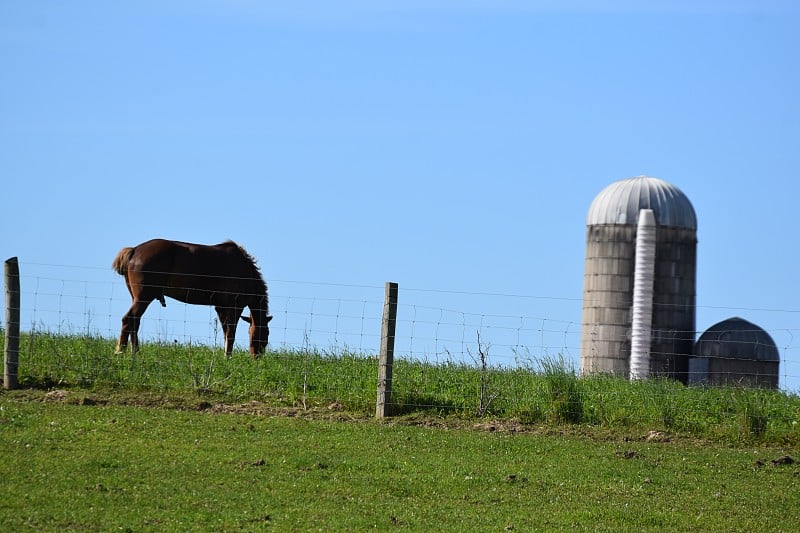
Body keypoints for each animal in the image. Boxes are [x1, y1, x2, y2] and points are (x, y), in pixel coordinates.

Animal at [109, 238, 274, 356]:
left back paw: (131, 351)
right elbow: (231, 334)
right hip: (144, 297)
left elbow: (226, 333)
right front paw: (228, 357)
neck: (245, 272)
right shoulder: (234, 306)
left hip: (137, 298)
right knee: (129, 318)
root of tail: (134, 250)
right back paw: (124, 351)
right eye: (265, 333)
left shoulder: (221, 308)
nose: (257, 356)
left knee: (134, 321)